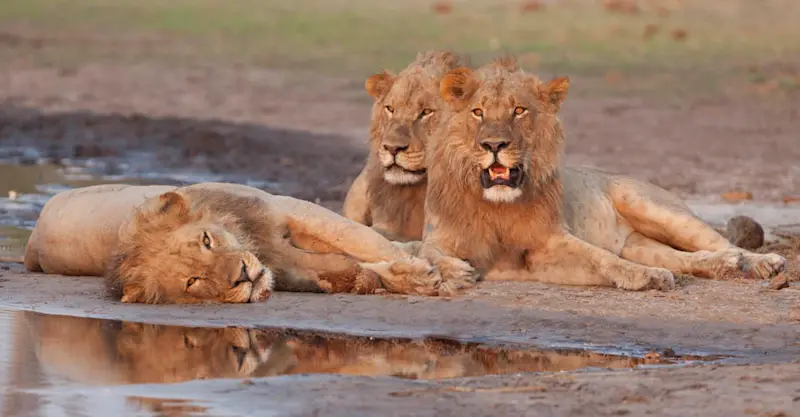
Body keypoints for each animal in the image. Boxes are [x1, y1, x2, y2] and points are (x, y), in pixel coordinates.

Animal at [23, 182, 447, 304]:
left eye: (207, 240)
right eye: (193, 281)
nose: (243, 275)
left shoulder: (285, 208)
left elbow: (363, 242)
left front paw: (439, 270)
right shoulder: (284, 260)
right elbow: (345, 265)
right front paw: (415, 276)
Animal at [418, 57, 787, 291]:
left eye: (519, 110)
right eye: (478, 112)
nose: (494, 144)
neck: (496, 206)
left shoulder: (551, 241)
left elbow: (601, 257)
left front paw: (647, 277)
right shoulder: (446, 238)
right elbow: (428, 252)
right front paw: (455, 272)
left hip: (651, 205)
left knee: (720, 242)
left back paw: (759, 262)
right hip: (640, 244)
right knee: (685, 259)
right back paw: (723, 264)